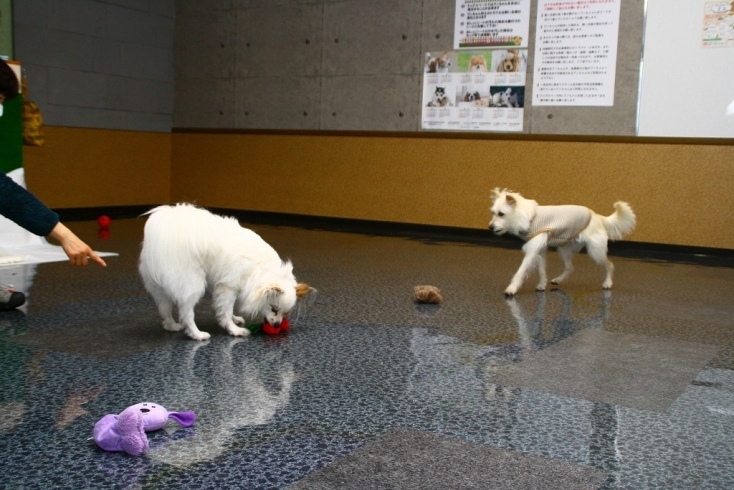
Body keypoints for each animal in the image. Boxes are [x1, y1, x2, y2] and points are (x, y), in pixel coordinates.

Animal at [139, 203, 314, 340]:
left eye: (285, 313)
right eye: (274, 309)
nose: (277, 325)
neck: (259, 269)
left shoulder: (225, 285)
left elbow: (226, 309)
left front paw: (235, 319)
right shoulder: (228, 287)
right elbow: (226, 310)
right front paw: (234, 330)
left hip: (159, 287)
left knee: (164, 307)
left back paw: (172, 325)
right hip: (192, 284)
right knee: (186, 311)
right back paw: (197, 334)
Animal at [488, 188, 640, 294]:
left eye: (501, 214)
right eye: (493, 213)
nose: (490, 227)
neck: (530, 217)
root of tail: (596, 216)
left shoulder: (532, 251)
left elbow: (520, 271)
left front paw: (512, 288)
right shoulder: (540, 250)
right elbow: (541, 270)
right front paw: (542, 284)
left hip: (596, 251)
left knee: (610, 265)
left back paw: (608, 283)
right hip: (564, 249)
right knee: (570, 267)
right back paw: (559, 280)